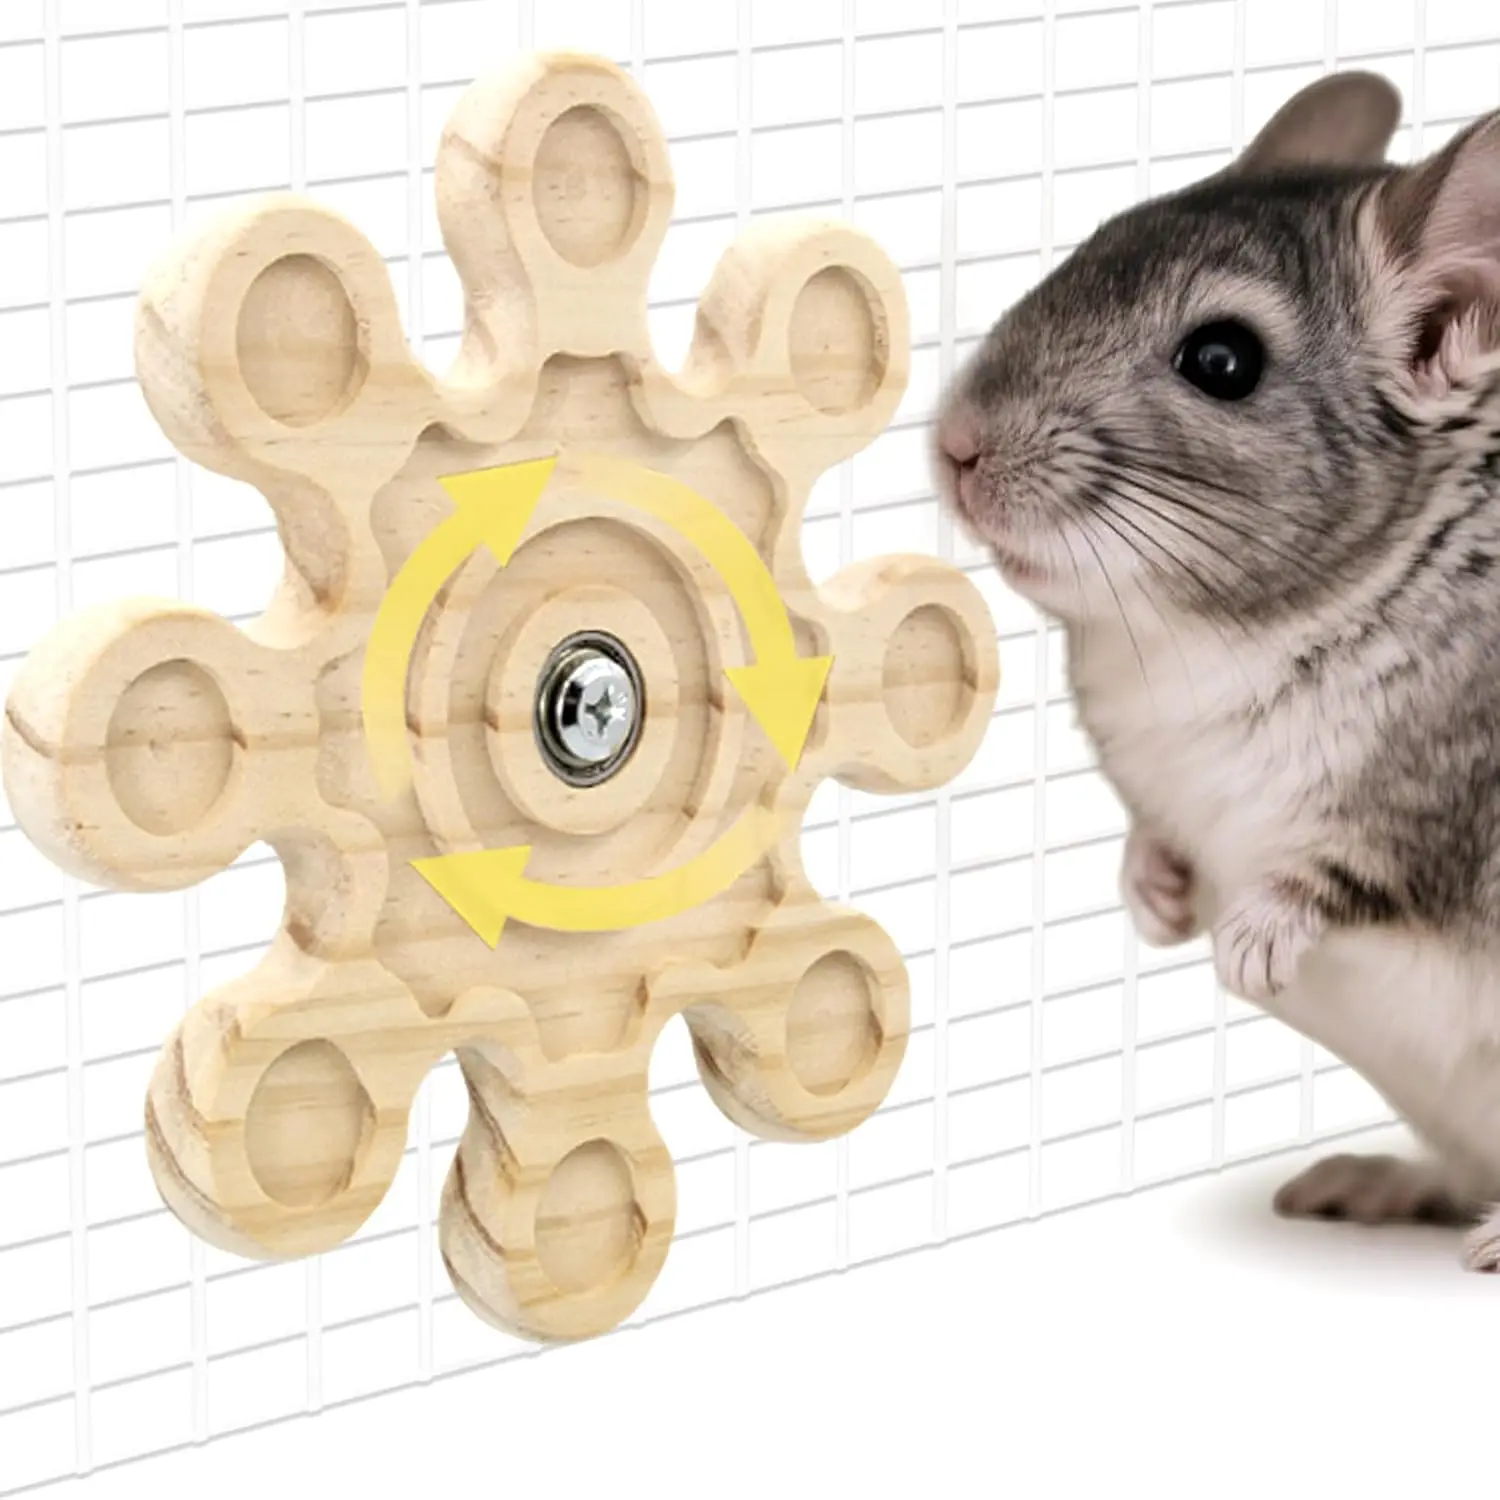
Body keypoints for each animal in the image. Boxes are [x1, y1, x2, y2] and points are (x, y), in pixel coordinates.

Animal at [932, 69, 1500, 1269]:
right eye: (1094, 239)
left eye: (1223, 361)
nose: (954, 444)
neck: (1206, 645)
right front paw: (1154, 897)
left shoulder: (1448, 803)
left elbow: (1352, 867)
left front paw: (1254, 944)